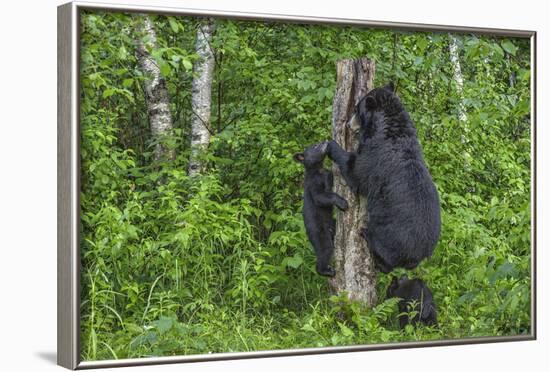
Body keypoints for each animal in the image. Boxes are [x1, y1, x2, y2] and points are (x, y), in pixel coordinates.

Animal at [296, 142, 352, 276]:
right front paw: (343, 203)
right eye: (315, 146)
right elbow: (320, 197)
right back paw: (326, 271)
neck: (318, 169)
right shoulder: (313, 183)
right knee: (325, 248)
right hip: (319, 231)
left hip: (332, 224)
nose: (325, 142)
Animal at [328, 83, 440, 274]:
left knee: (385, 255)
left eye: (356, 109)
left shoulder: (375, 155)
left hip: (389, 235)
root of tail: (420, 256)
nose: (348, 124)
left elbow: (356, 172)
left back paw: (367, 236)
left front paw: (329, 145)